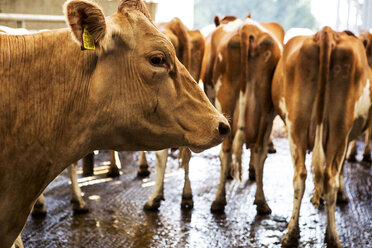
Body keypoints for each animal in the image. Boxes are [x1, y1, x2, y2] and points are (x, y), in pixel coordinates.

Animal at [202, 17, 284, 213]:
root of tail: (248, 29)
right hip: (266, 107)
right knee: (260, 150)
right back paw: (261, 201)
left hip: (225, 97)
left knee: (226, 149)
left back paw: (219, 200)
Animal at [270, 26, 372, 247]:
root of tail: (326, 33)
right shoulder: (347, 137)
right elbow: (341, 168)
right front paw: (340, 195)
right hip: (338, 129)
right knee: (329, 176)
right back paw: (332, 236)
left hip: (297, 126)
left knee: (302, 176)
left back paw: (293, 234)